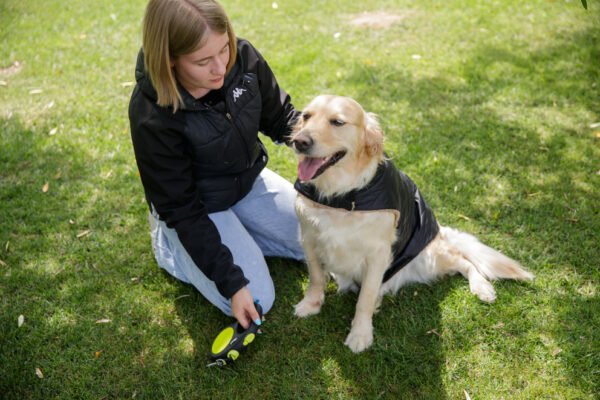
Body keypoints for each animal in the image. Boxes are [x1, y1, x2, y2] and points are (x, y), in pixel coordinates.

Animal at [290, 95, 536, 352]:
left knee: (464, 261)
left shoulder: (378, 255)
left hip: (431, 258)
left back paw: (482, 287)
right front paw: (311, 304)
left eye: (337, 122)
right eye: (306, 116)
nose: (299, 142)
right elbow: (316, 278)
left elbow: (365, 298)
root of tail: (439, 232)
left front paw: (360, 334)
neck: (341, 196)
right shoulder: (308, 239)